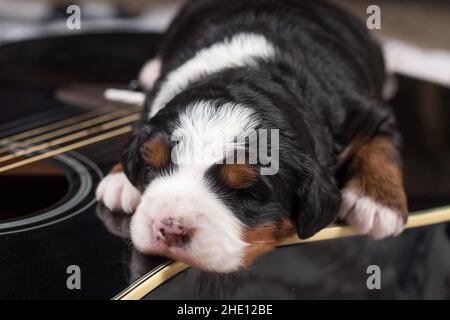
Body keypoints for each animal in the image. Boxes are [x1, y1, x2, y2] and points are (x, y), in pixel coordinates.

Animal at [96, 0, 410, 272]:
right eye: (151, 167)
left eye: (247, 192)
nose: (170, 227)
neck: (253, 72)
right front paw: (119, 180)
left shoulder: (369, 111)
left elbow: (383, 145)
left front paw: (377, 203)